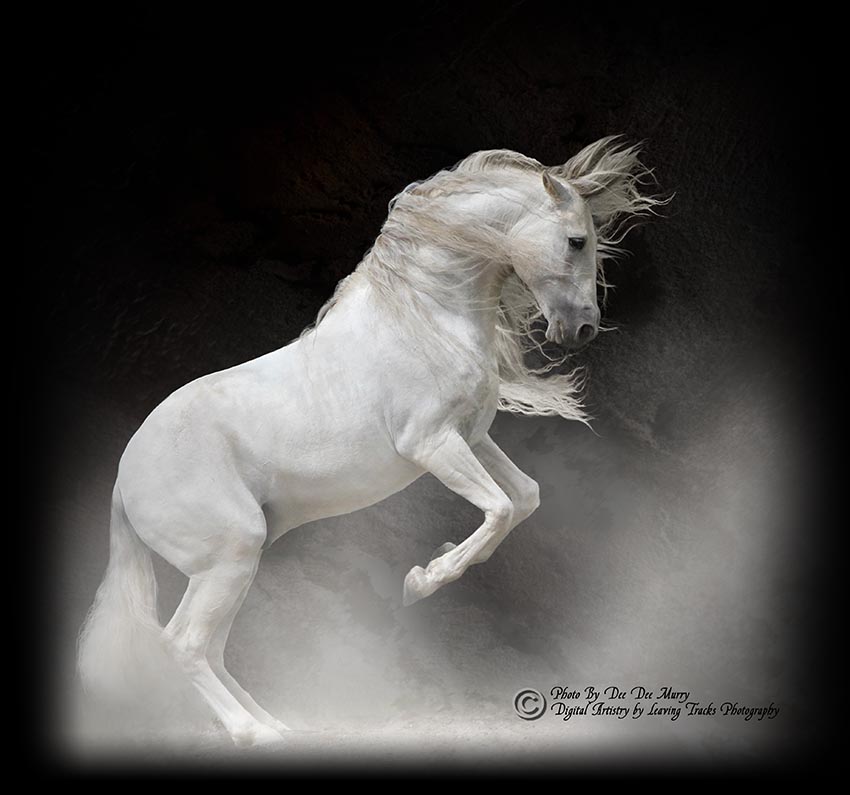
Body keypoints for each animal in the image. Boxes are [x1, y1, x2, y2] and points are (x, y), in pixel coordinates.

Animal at [77, 136, 663, 747]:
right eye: (576, 240)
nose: (583, 328)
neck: (424, 318)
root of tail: (124, 478)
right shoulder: (432, 445)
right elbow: (500, 508)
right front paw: (421, 581)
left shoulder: (473, 438)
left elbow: (525, 497)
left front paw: (438, 562)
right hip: (227, 558)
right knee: (185, 643)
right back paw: (254, 734)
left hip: (235, 565)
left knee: (211, 649)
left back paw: (276, 725)